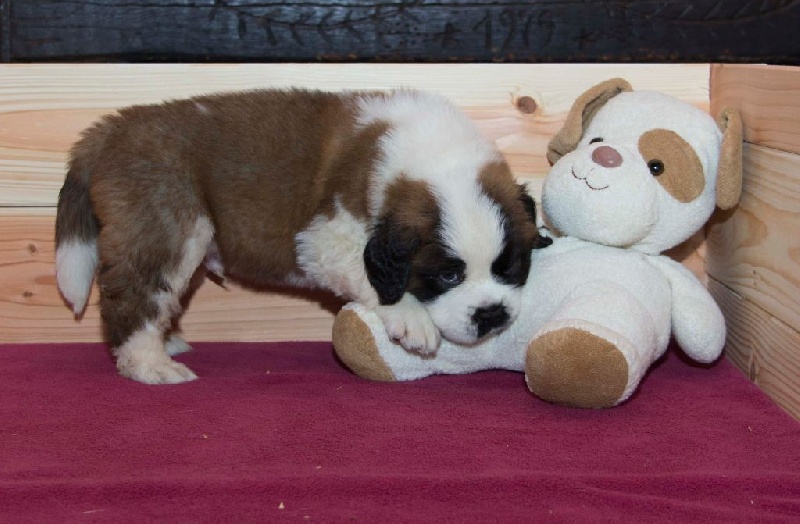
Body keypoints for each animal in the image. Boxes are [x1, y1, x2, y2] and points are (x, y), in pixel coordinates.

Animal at [55, 88, 545, 384]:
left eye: (510, 268)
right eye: (447, 277)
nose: (492, 315)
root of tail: (111, 128)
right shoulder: (325, 239)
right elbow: (371, 279)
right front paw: (412, 318)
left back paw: (164, 342)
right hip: (168, 227)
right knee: (135, 296)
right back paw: (150, 364)